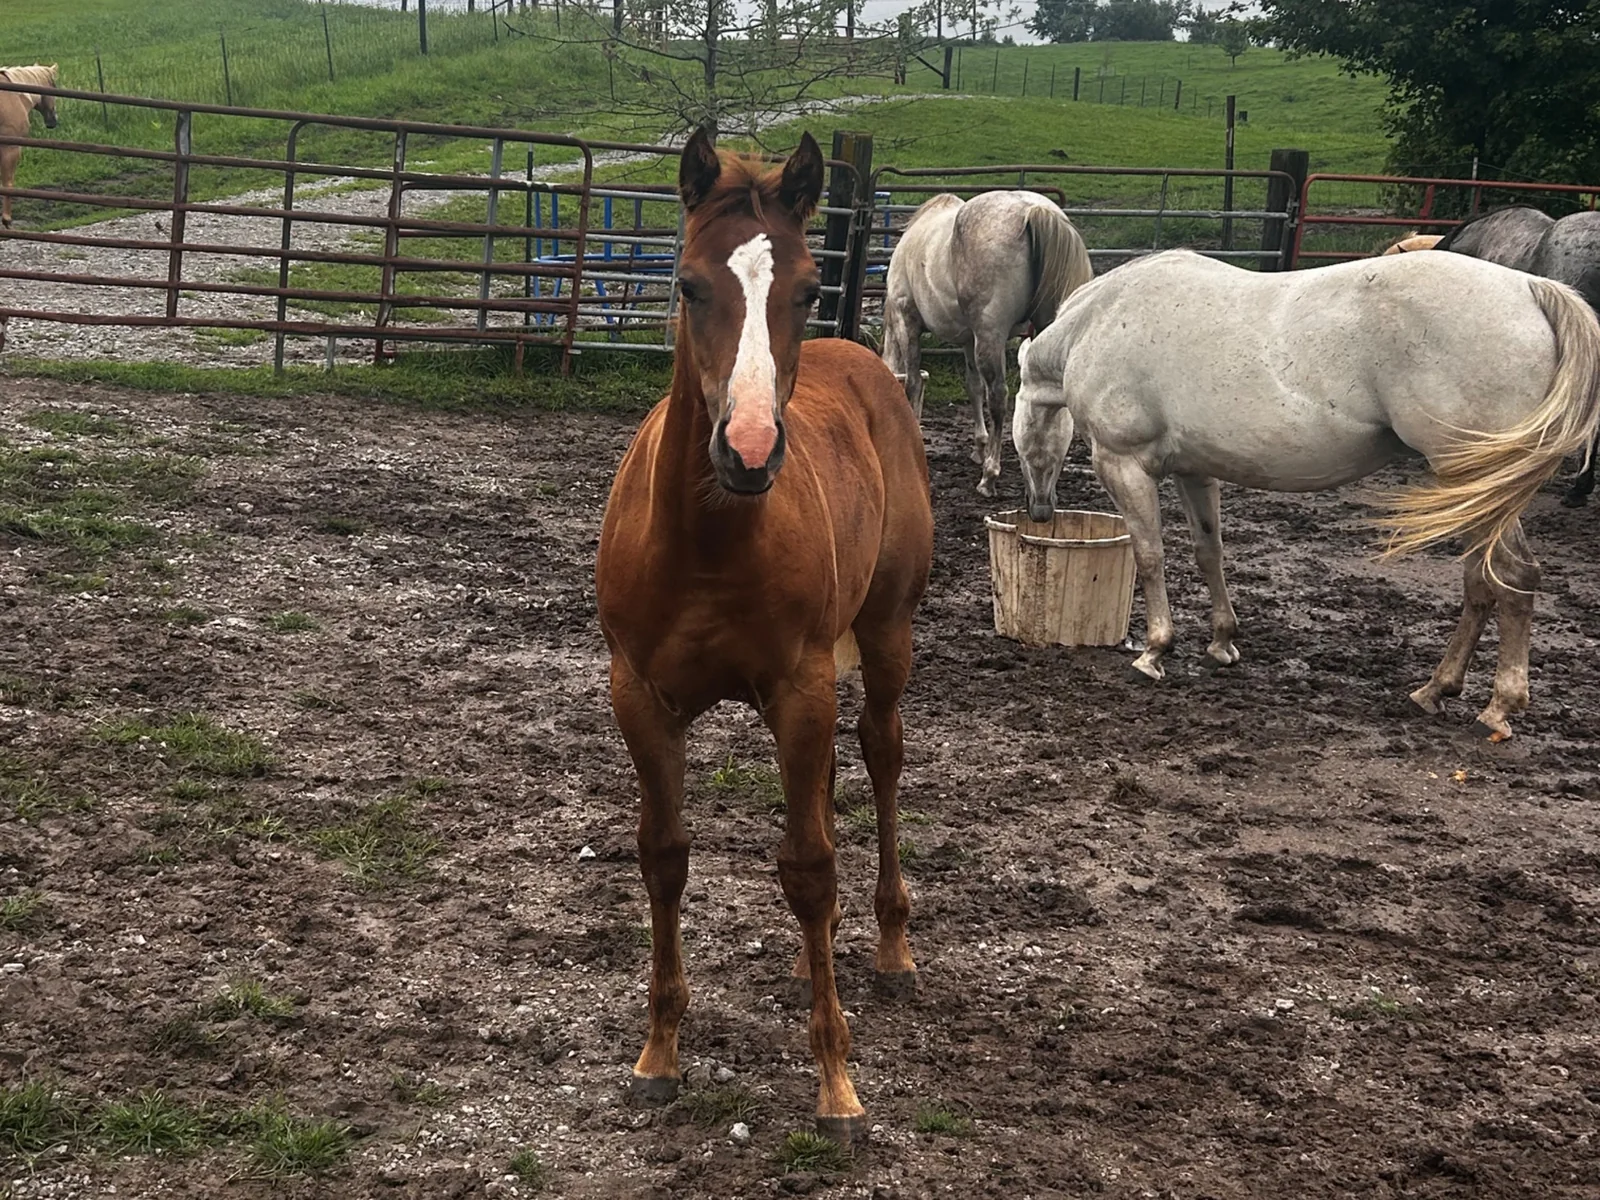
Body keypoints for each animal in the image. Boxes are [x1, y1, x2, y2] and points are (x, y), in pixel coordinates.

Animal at [0, 64, 59, 229]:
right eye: (54, 85)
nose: (53, 120)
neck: (14, 96)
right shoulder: (10, 148)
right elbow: (7, 182)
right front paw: (6, 219)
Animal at [595, 129, 934, 1144]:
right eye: (685, 284)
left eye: (809, 289)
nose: (748, 449)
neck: (708, 539)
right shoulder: (640, 696)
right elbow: (664, 856)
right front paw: (658, 1055)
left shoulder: (802, 690)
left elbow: (810, 867)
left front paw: (836, 1084)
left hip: (885, 637)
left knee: (880, 758)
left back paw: (892, 947)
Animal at [881, 189, 1093, 497]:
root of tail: (1034, 211)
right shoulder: (970, 340)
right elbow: (973, 387)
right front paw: (978, 447)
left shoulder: (907, 321)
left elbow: (913, 383)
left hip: (991, 336)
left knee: (999, 397)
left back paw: (989, 476)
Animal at [1012, 249, 1600, 742]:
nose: (1040, 513)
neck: (1098, 321)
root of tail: (1531, 289)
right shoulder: (1196, 472)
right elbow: (1209, 553)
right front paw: (1221, 642)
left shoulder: (1124, 464)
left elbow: (1150, 555)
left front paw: (1155, 650)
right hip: (1475, 494)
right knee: (1482, 583)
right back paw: (1436, 690)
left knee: (1513, 578)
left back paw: (1499, 707)